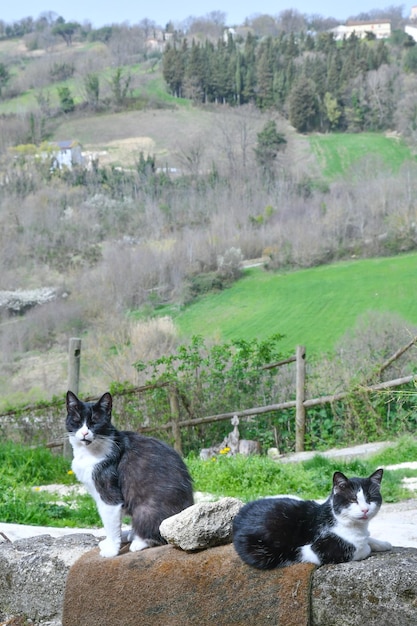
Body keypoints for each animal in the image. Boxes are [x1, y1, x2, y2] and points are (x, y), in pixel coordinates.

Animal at [65, 390, 193, 556]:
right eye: (77, 421)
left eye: (95, 422)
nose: (85, 432)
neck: (88, 452)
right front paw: (111, 542)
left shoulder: (109, 494)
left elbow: (110, 523)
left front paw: (112, 550)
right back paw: (130, 535)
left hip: (146, 509)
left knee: (159, 533)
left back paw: (138, 542)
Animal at [232, 466, 392, 568]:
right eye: (353, 500)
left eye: (370, 499)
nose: (365, 510)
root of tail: (240, 513)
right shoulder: (314, 550)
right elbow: (362, 548)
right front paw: (368, 546)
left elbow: (368, 538)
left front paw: (383, 543)